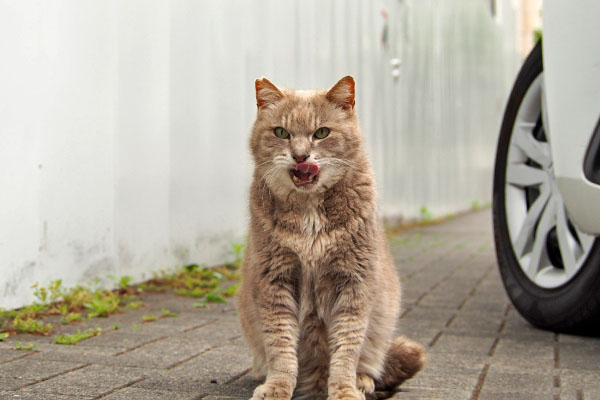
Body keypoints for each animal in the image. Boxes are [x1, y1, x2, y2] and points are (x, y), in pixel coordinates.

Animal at [237, 76, 424, 400]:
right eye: (281, 132)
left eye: (321, 132)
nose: (301, 156)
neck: (309, 209)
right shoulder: (275, 280)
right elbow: (280, 346)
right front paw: (277, 387)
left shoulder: (354, 282)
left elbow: (346, 348)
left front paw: (345, 389)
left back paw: (362, 380)